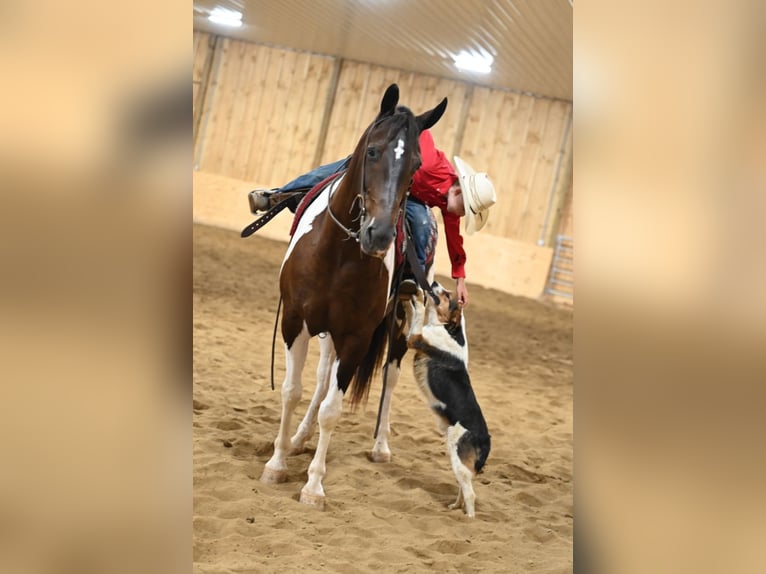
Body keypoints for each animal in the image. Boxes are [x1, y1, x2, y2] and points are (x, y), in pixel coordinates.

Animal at [260, 83, 448, 510]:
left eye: (415, 165)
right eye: (373, 151)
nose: (379, 235)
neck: (339, 252)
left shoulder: (357, 337)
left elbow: (333, 409)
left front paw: (314, 486)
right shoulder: (296, 321)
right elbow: (293, 392)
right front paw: (277, 462)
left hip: (397, 326)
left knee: (389, 377)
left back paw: (379, 446)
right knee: (321, 378)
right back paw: (299, 437)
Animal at [404, 282, 496, 516]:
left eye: (447, 295)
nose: (434, 283)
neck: (449, 330)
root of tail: (485, 440)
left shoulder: (415, 339)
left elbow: (418, 313)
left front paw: (418, 298)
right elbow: (412, 315)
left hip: (457, 456)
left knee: (471, 494)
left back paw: (469, 519)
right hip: (459, 464)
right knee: (463, 489)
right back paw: (455, 507)